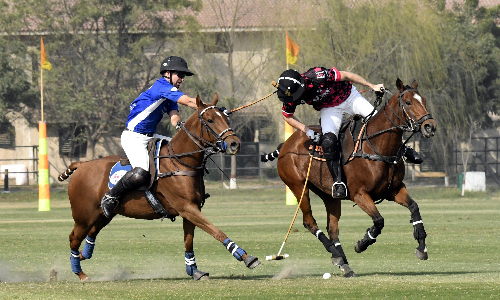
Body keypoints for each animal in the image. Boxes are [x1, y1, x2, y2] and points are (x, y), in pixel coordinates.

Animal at [59, 93, 262, 282]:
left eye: (226, 118)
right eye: (210, 120)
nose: (235, 144)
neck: (180, 162)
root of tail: (81, 165)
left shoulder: (191, 209)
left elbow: (189, 241)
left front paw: (194, 271)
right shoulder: (187, 207)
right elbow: (216, 231)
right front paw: (246, 257)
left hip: (104, 214)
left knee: (91, 234)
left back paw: (83, 256)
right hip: (84, 215)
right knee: (73, 238)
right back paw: (80, 273)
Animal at [262, 79, 438, 276]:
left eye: (423, 100)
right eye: (408, 102)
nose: (430, 126)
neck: (377, 146)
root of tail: (286, 144)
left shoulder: (394, 189)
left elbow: (414, 207)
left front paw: (421, 247)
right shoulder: (359, 194)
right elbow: (379, 221)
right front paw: (362, 243)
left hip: (329, 195)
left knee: (332, 228)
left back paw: (343, 263)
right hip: (299, 187)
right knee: (310, 222)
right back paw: (336, 254)